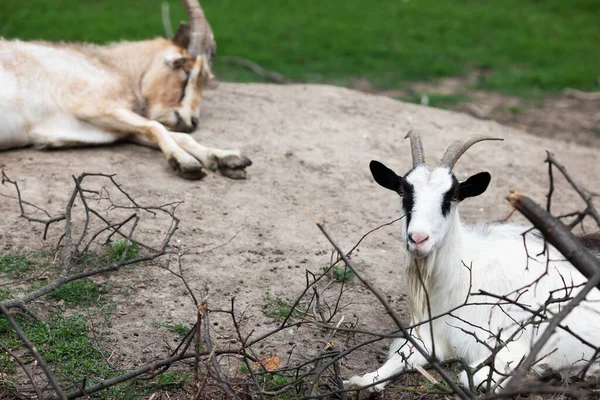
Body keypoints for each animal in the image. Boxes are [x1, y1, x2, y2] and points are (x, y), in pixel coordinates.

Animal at [0, 0, 251, 178]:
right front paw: (185, 162)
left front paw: (228, 159)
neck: (113, 66)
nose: (191, 121)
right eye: (186, 70)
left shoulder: (96, 126)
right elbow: (155, 126)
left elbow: (175, 135)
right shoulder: (94, 106)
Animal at [344, 133, 600, 392]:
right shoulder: (428, 338)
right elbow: (398, 357)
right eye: (403, 191)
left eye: (453, 196)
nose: (418, 238)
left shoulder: (510, 346)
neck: (461, 280)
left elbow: (471, 379)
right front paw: (363, 380)